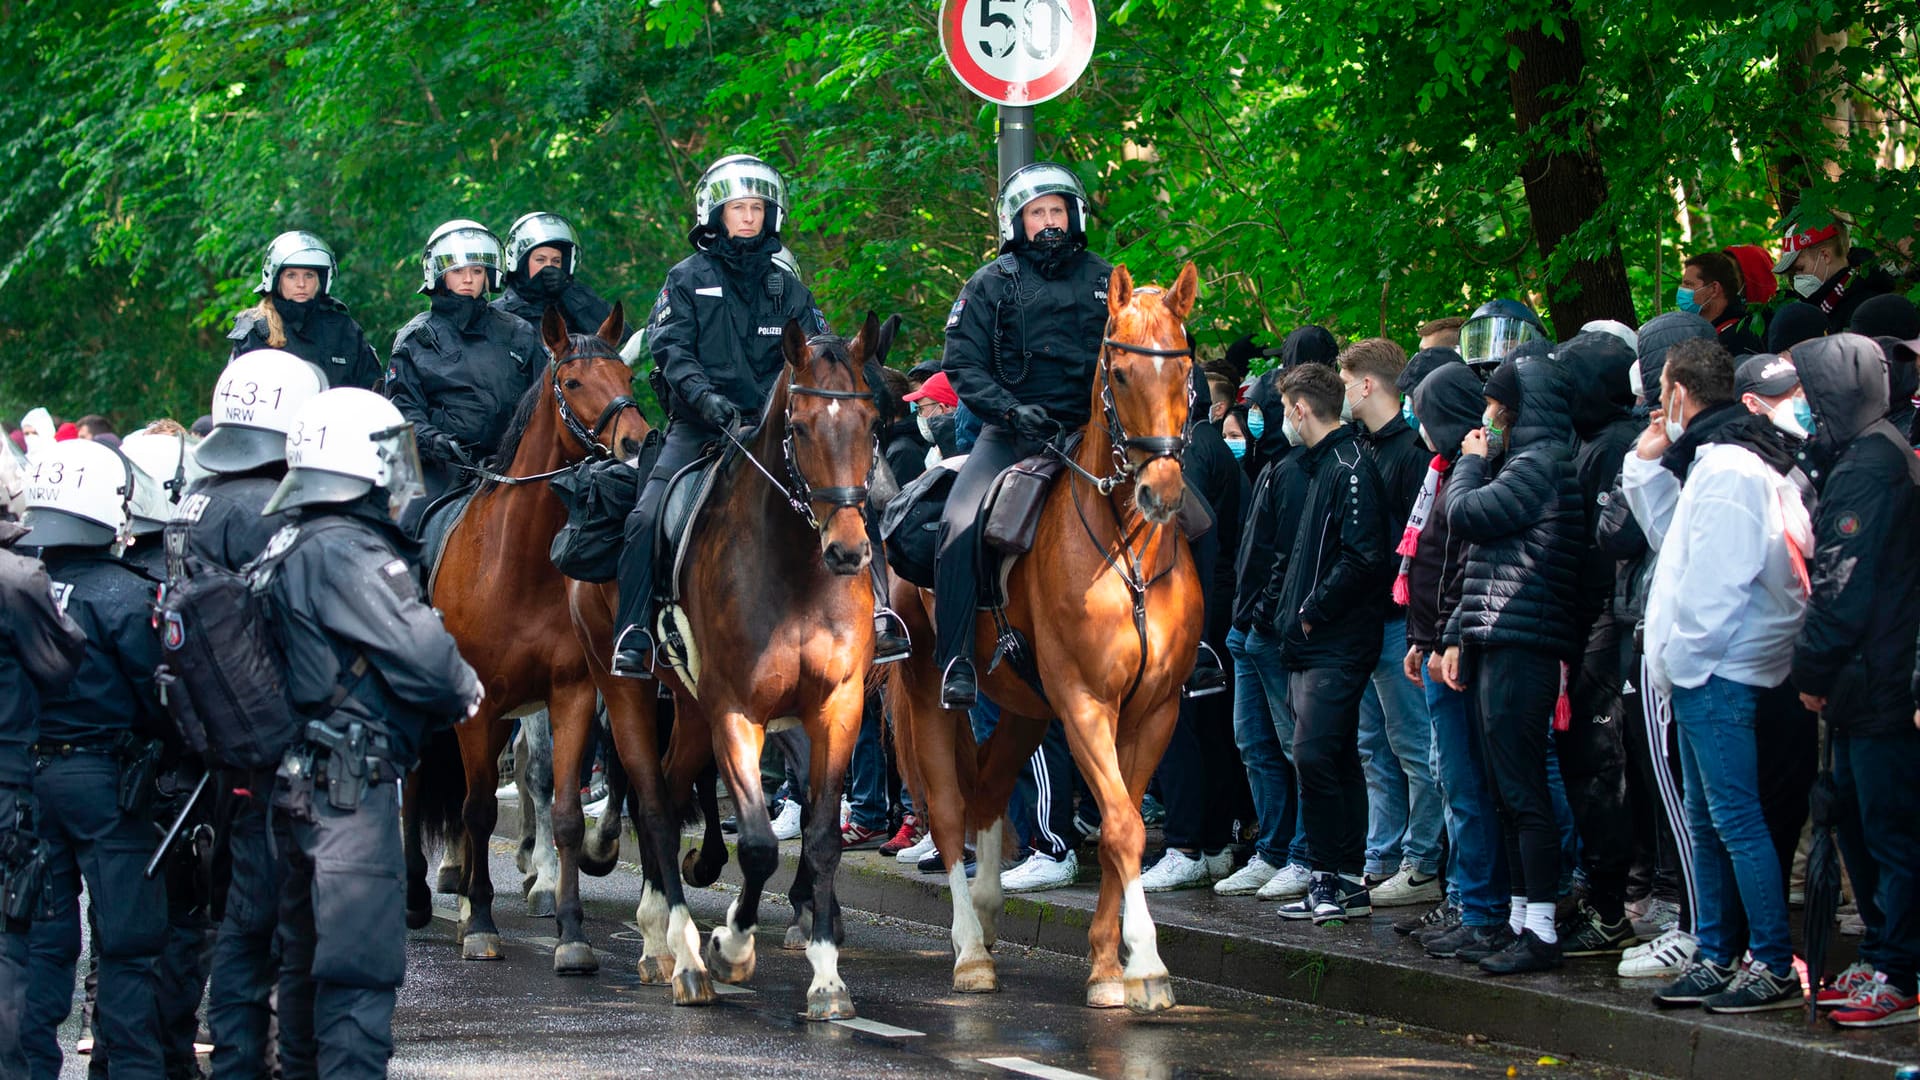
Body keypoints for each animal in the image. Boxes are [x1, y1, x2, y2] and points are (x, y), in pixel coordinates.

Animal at [412, 303, 652, 968]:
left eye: (626, 373)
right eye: (572, 381)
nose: (636, 442)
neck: (513, 566)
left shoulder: (569, 695)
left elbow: (561, 806)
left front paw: (570, 932)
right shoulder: (479, 706)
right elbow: (477, 808)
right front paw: (481, 924)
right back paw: (420, 897)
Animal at [883, 261, 1198, 1006]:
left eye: (1185, 366)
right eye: (1118, 372)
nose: (1162, 492)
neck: (1129, 552)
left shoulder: (1154, 711)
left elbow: (1121, 826)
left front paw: (1109, 965)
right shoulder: (1085, 703)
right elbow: (1123, 825)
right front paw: (1144, 963)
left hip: (1026, 708)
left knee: (991, 793)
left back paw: (990, 912)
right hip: (931, 695)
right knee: (949, 811)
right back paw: (971, 952)